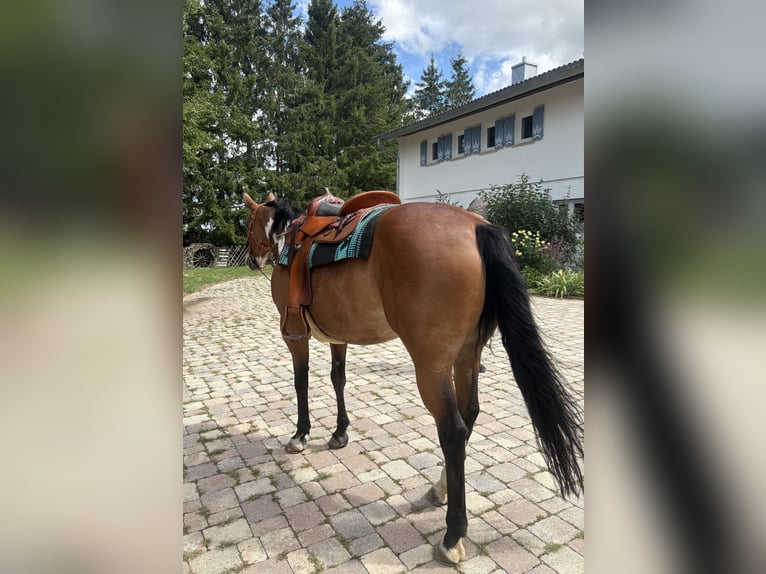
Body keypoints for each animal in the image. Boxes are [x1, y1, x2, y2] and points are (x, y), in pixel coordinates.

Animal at [242, 191, 584, 564]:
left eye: (248, 224)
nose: (251, 260)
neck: (290, 236)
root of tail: (477, 226)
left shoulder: (293, 335)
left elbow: (301, 382)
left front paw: (300, 434)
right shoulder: (339, 335)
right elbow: (338, 379)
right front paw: (339, 432)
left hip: (431, 366)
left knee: (452, 431)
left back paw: (452, 536)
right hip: (467, 356)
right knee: (470, 412)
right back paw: (440, 489)